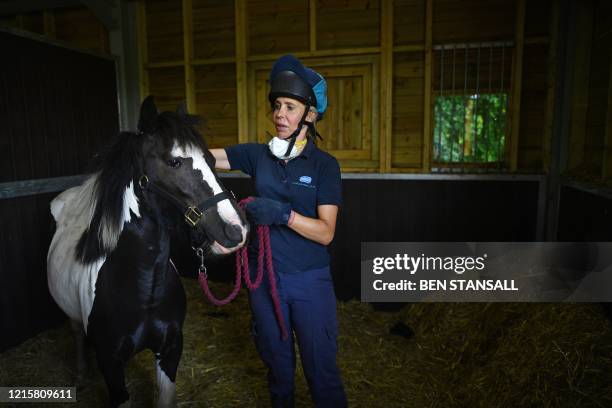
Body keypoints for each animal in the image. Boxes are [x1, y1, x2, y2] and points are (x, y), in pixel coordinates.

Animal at [47, 97, 249, 406]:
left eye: (213, 160)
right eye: (174, 162)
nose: (235, 230)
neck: (143, 289)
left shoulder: (170, 351)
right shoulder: (110, 364)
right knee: (77, 333)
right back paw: (80, 374)